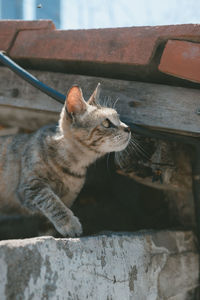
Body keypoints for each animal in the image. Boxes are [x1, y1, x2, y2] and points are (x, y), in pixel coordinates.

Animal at [0, 84, 131, 237]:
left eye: (118, 118)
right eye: (106, 123)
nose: (128, 128)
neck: (72, 164)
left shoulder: (68, 197)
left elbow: (48, 225)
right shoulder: (29, 186)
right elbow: (51, 201)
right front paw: (69, 223)